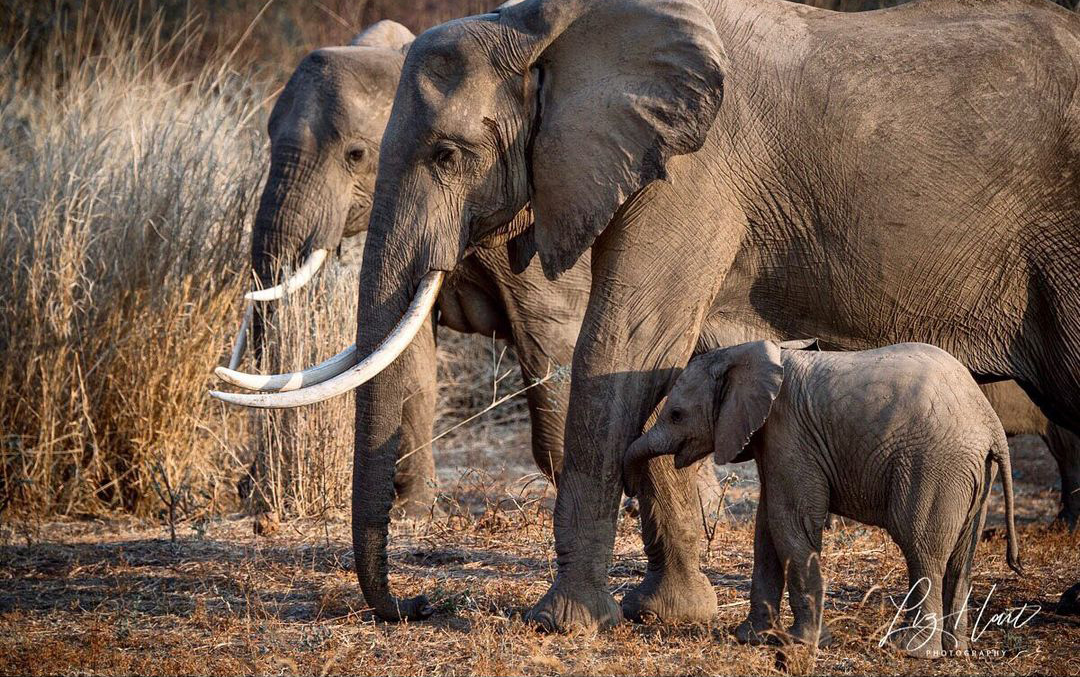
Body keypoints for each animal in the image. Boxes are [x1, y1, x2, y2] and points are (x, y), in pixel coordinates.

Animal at [626, 341, 1019, 660]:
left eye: (676, 414)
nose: (629, 494)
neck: (747, 354)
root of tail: (991, 424)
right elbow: (767, 529)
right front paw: (751, 638)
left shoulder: (788, 432)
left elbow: (790, 521)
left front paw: (804, 643)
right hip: (972, 474)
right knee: (961, 556)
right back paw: (957, 649)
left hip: (934, 465)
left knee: (923, 551)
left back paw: (912, 649)